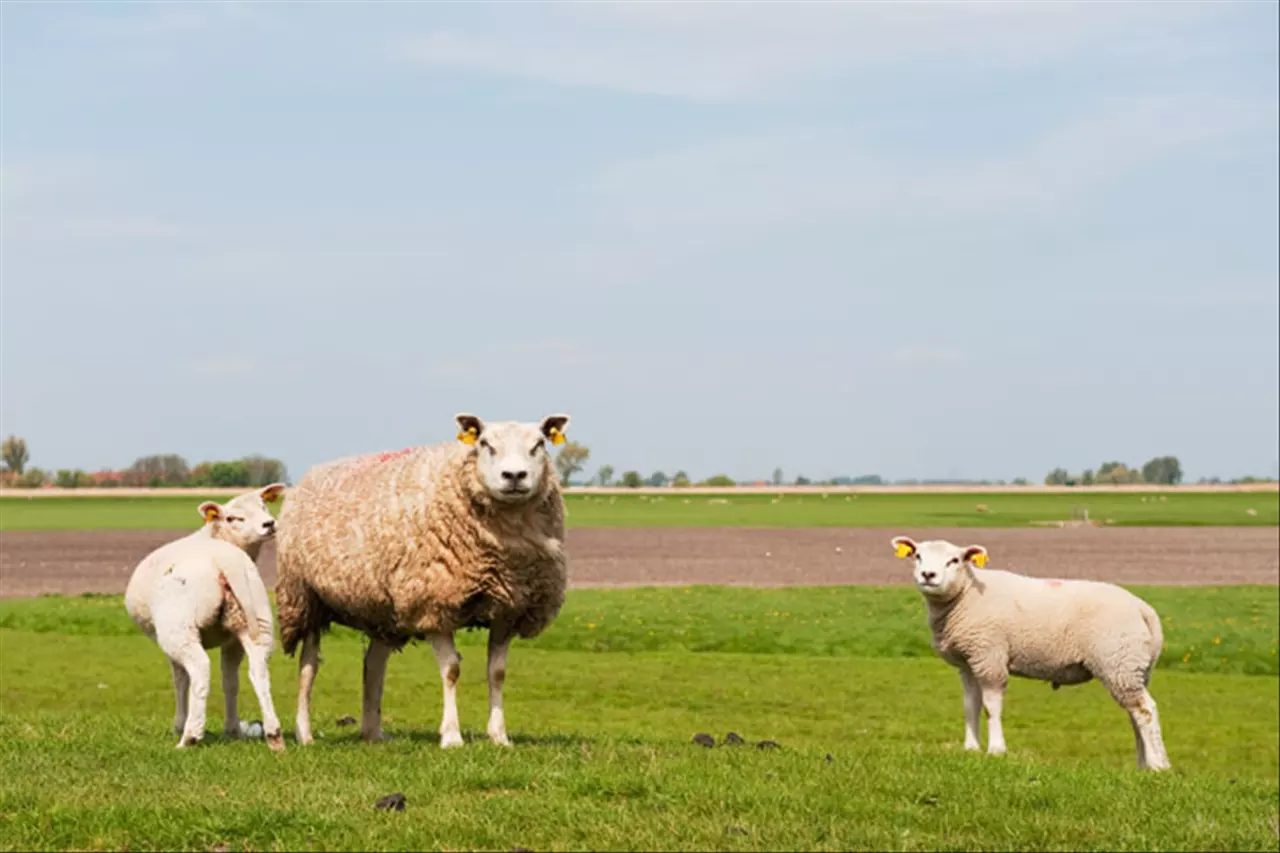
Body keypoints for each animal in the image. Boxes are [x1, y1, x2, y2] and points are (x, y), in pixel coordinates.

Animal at [121, 481, 288, 747]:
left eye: (263, 505)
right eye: (232, 518)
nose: (269, 523)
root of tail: (226, 560)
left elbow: (180, 680)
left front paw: (178, 726)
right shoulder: (230, 640)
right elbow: (230, 682)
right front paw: (232, 730)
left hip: (178, 629)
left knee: (199, 670)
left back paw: (190, 736)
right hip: (254, 621)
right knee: (257, 671)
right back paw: (272, 734)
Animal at [277, 409, 573, 742]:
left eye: (539, 444)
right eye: (485, 444)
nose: (514, 476)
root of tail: (309, 476)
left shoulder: (508, 608)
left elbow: (496, 673)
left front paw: (499, 737)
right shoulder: (433, 603)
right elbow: (452, 670)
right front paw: (452, 736)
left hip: (383, 608)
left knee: (373, 664)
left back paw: (373, 733)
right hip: (304, 598)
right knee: (308, 667)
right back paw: (305, 733)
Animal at [890, 535, 1172, 768]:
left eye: (954, 560)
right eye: (917, 556)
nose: (928, 574)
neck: (965, 595)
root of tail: (1144, 609)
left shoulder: (990, 656)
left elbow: (991, 706)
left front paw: (996, 750)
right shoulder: (968, 662)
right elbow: (970, 705)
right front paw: (970, 749)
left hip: (1118, 661)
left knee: (1145, 710)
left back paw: (1158, 765)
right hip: (1133, 667)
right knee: (1135, 713)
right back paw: (1143, 765)